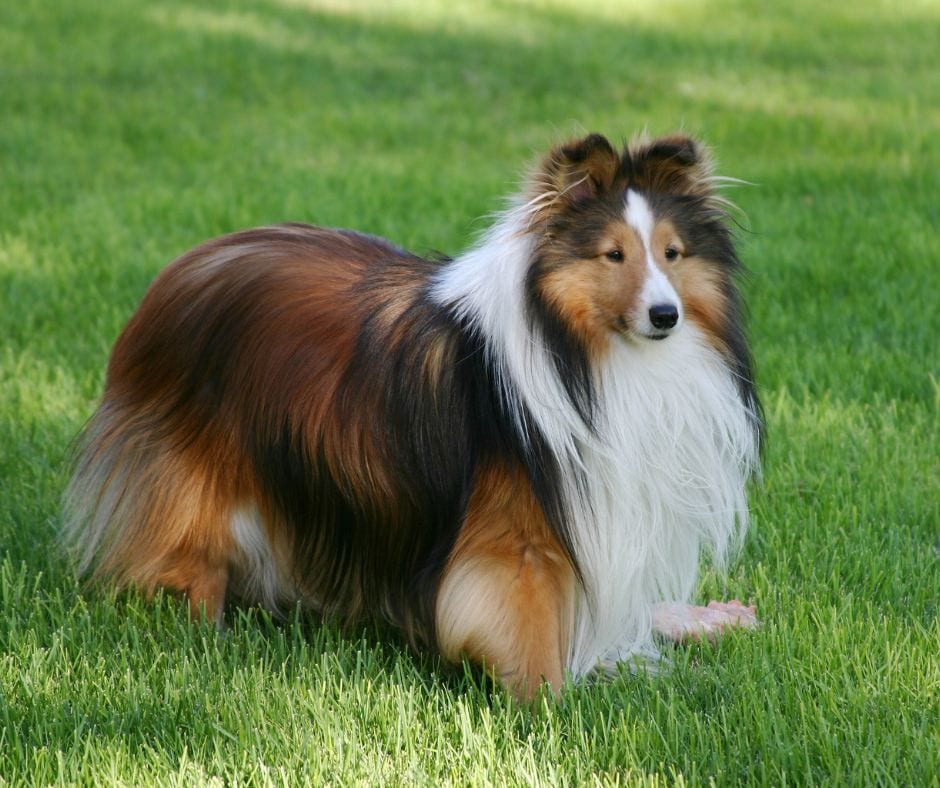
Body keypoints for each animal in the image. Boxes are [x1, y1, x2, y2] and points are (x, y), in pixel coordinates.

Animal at [64, 132, 756, 700]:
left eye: (672, 253)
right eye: (613, 255)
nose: (665, 316)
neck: (587, 354)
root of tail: (177, 273)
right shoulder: (517, 543)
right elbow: (530, 629)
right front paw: (552, 714)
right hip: (200, 475)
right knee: (187, 557)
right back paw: (204, 629)